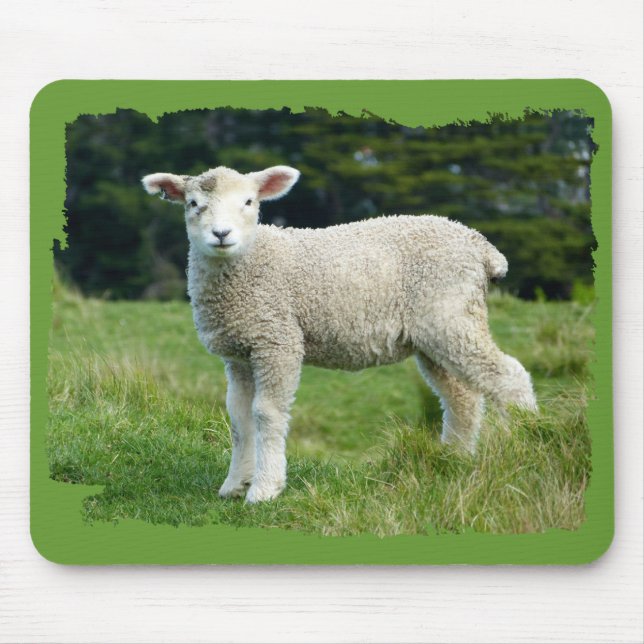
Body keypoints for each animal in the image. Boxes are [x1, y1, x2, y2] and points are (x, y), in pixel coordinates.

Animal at [142, 165, 537, 503]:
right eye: (194, 204)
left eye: (249, 202)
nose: (221, 234)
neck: (252, 263)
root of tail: (481, 246)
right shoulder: (239, 352)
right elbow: (239, 418)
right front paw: (235, 485)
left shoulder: (277, 340)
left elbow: (266, 413)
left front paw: (265, 488)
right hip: (435, 333)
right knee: (461, 398)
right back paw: (453, 461)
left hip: (451, 316)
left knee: (509, 376)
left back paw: (528, 444)